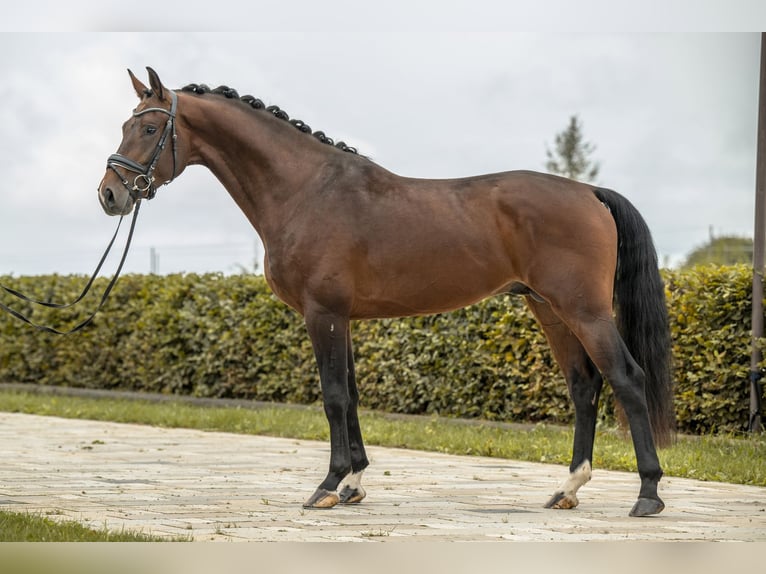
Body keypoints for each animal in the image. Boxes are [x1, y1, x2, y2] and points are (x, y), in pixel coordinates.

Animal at [97, 67, 680, 516]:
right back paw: (567, 489)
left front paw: (327, 487)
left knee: (627, 380)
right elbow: (351, 395)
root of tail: (589, 191)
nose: (110, 194)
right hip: (549, 309)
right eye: (126, 124)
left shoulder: (323, 313)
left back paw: (648, 494)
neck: (307, 190)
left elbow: (333, 396)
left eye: (149, 126)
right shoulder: (343, 317)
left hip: (584, 310)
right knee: (584, 386)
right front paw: (354, 484)